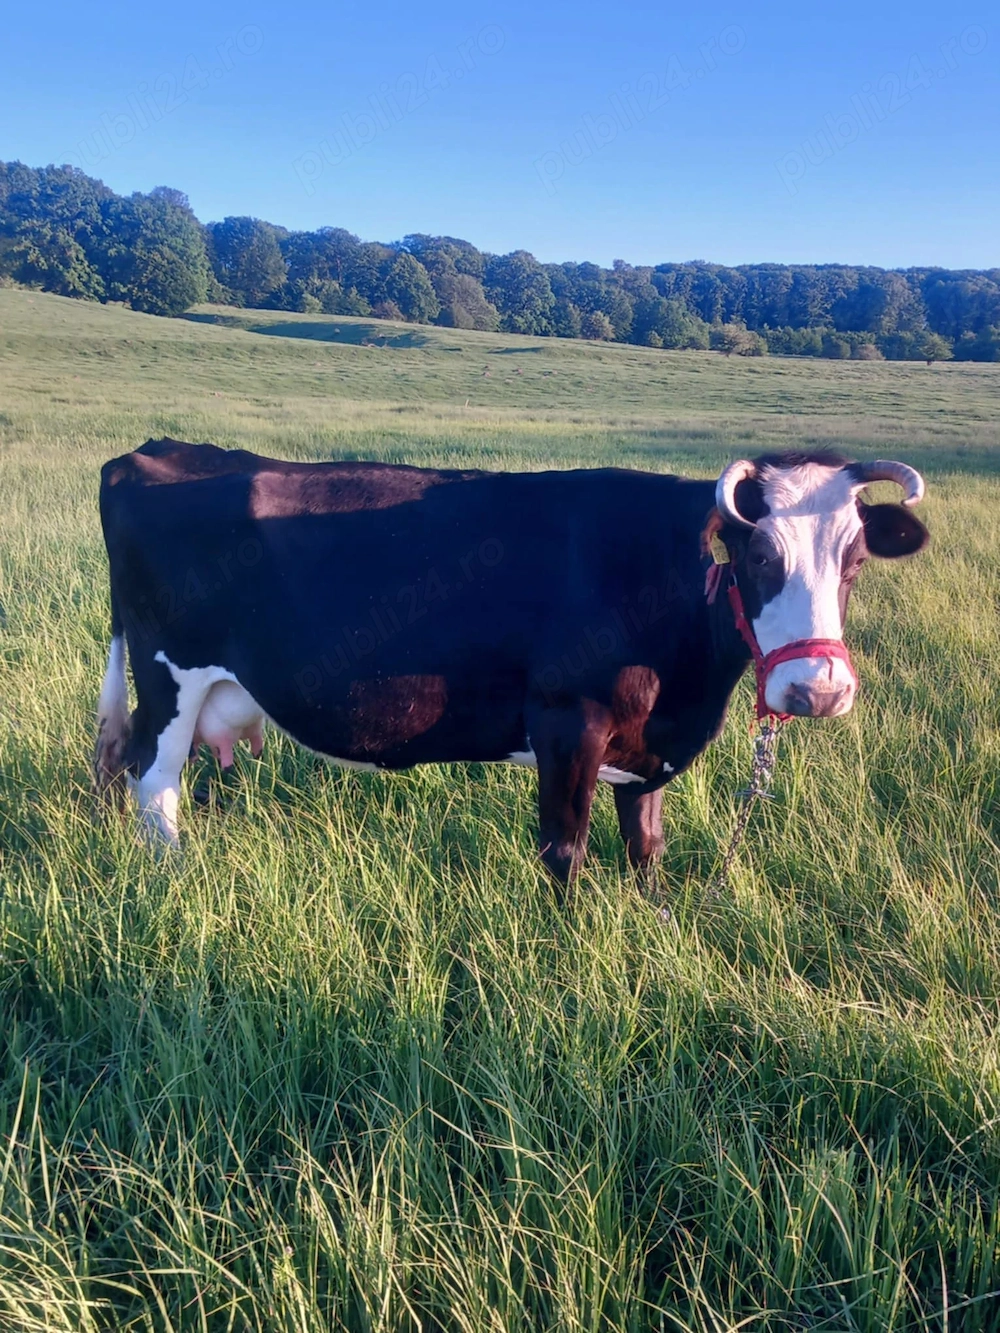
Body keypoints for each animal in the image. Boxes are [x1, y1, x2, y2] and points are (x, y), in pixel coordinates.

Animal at [94, 439, 928, 883]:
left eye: (854, 560)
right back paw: (172, 877)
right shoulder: (567, 720)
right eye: (758, 555)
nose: (817, 689)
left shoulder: (645, 742)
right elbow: (564, 849)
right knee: (153, 781)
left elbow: (646, 847)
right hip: (170, 675)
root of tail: (153, 453)